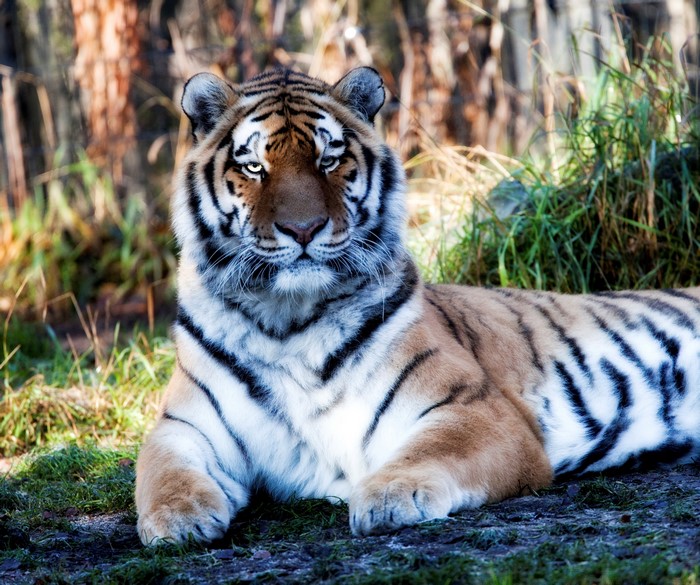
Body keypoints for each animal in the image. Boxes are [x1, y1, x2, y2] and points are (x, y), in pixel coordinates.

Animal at [135, 66, 700, 545]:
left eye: (329, 159)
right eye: (254, 167)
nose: (303, 229)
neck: (287, 319)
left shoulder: (474, 407)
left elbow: (432, 449)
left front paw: (388, 496)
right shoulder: (184, 424)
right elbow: (159, 469)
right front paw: (178, 519)